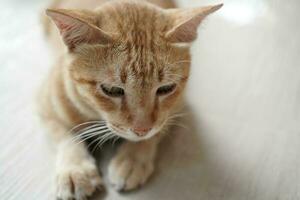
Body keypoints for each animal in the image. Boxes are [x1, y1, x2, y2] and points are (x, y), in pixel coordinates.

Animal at [37, 0, 221, 199]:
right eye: (112, 90)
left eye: (166, 89)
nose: (142, 130)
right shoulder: (45, 107)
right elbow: (66, 137)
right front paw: (75, 170)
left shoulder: (176, 108)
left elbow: (155, 132)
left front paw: (131, 160)